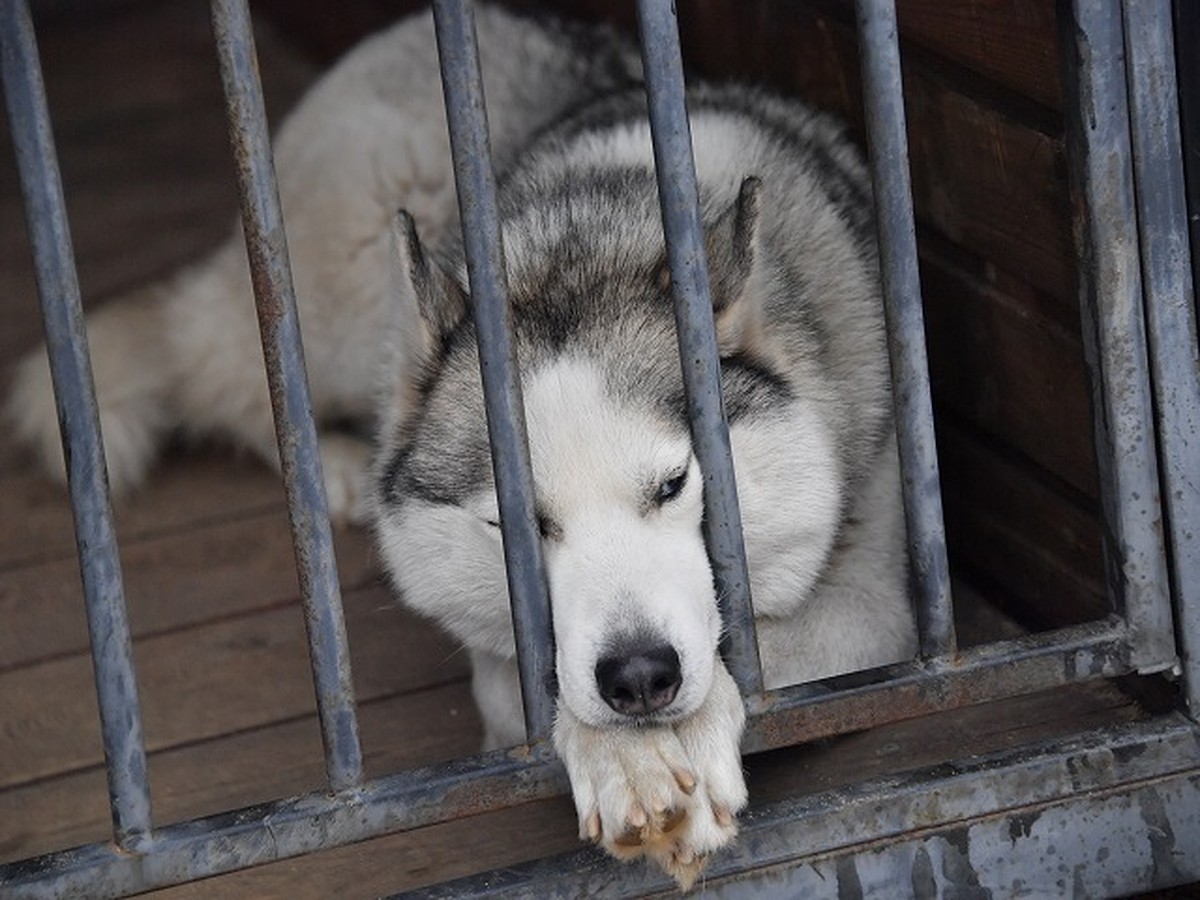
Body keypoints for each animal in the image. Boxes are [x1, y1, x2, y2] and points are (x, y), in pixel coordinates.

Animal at [7, 1, 916, 888]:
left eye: (672, 486)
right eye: (516, 526)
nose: (638, 679)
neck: (592, 231)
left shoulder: (878, 608)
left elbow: (762, 650)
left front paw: (677, 736)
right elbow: (537, 689)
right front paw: (630, 759)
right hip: (349, 289)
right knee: (226, 356)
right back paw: (329, 465)